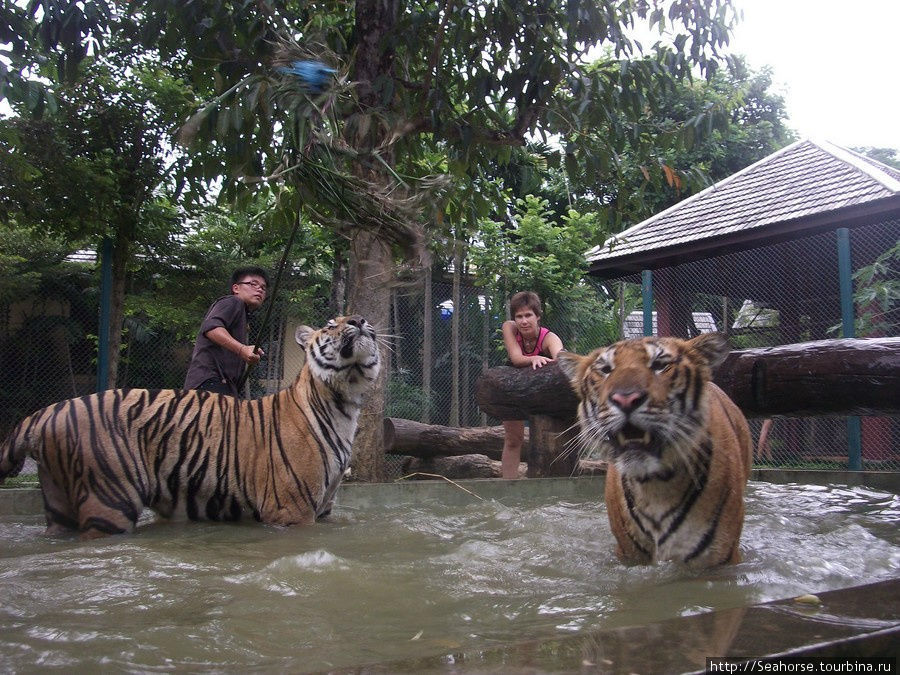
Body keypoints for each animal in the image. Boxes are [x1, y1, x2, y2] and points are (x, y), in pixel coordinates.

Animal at [0, 314, 380, 540]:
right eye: (330, 324)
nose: (361, 319)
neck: (345, 401)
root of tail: (47, 411)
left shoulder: (324, 509)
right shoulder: (291, 511)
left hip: (59, 503)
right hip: (108, 501)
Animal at [560, 332, 748, 572]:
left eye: (660, 365)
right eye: (605, 369)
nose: (626, 399)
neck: (656, 484)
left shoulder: (720, 558)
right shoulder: (628, 554)